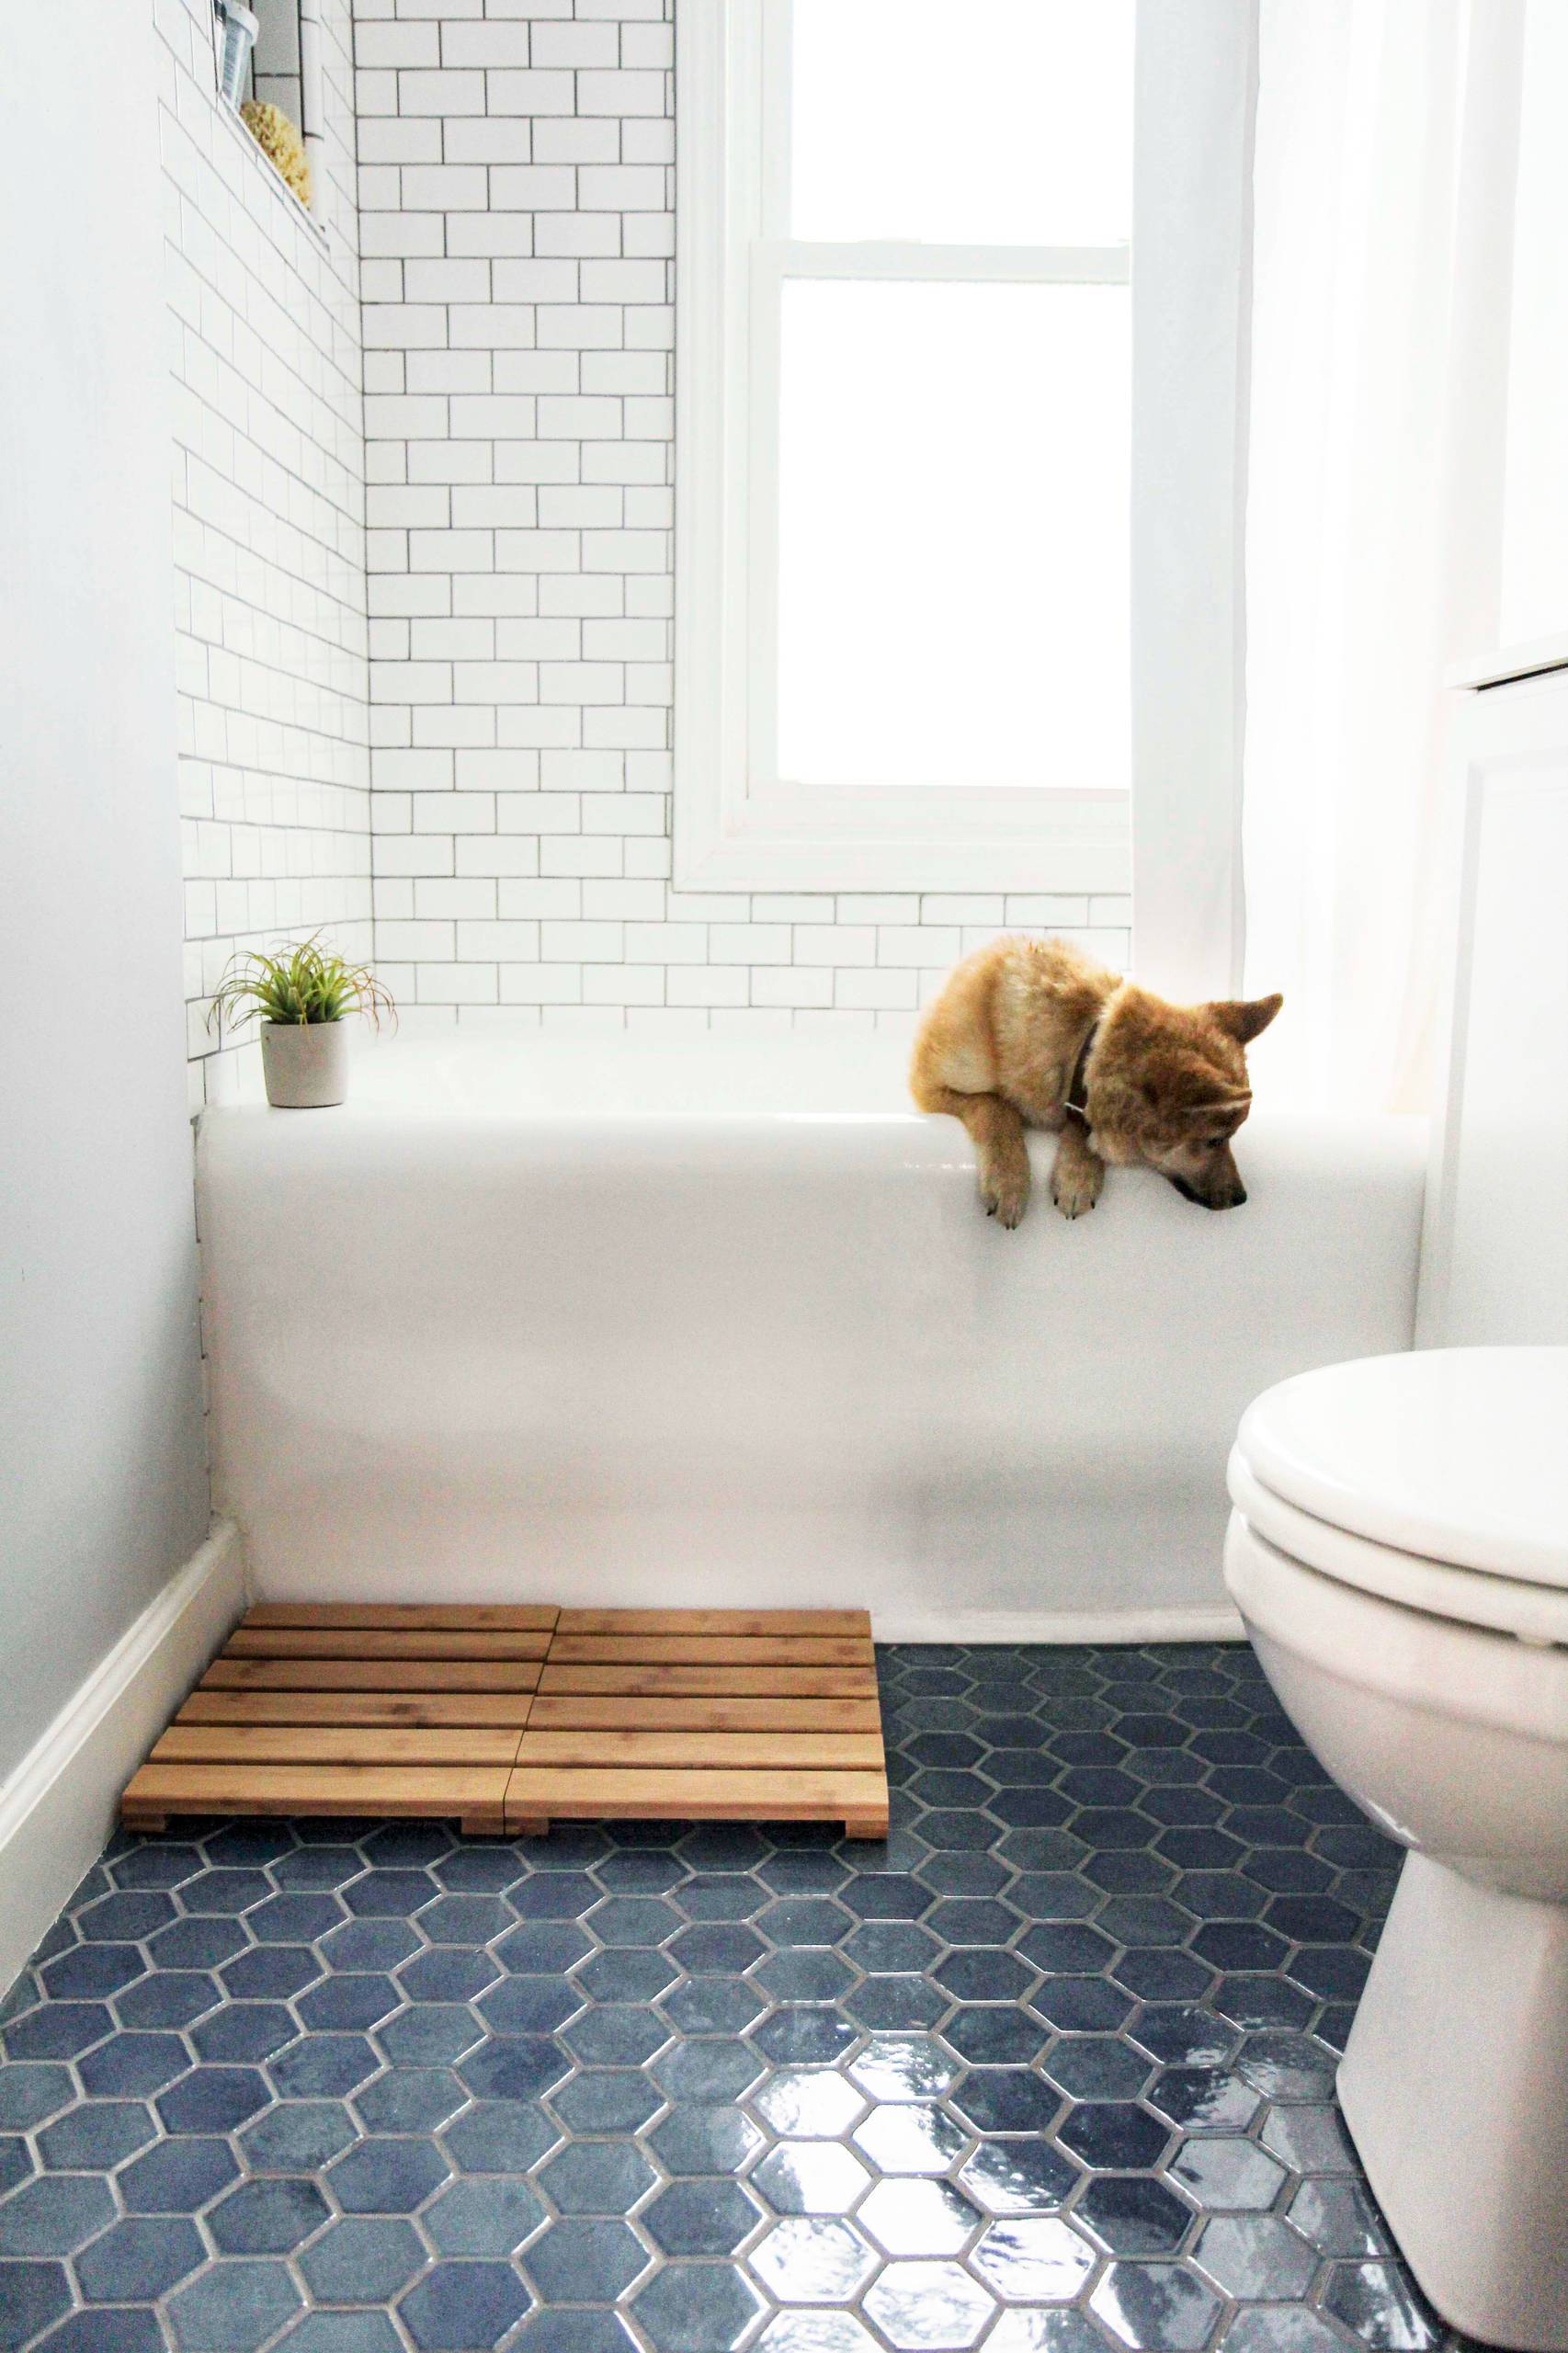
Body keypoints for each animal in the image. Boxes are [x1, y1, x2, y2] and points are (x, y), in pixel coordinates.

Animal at [908, 936, 1280, 1233]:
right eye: (1216, 1140)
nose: (1242, 1198)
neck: (1082, 1045)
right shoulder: (929, 1089)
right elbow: (995, 1106)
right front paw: (1009, 1179)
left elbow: (1081, 1124)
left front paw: (1077, 1172)